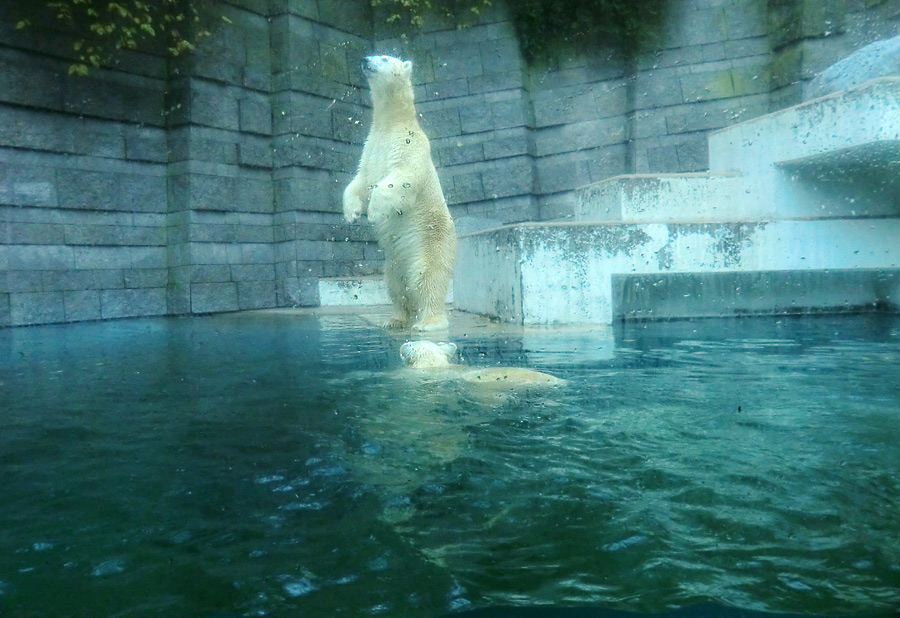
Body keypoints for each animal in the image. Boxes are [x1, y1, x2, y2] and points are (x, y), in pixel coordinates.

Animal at [344, 55, 458, 330]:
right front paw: (351, 213)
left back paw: (427, 322)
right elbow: (360, 181)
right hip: (393, 262)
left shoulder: (409, 143)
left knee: (428, 279)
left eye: (385, 58)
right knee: (396, 286)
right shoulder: (371, 149)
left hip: (431, 243)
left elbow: (401, 178)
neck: (390, 124)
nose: (365, 59)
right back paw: (395, 319)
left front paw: (374, 213)